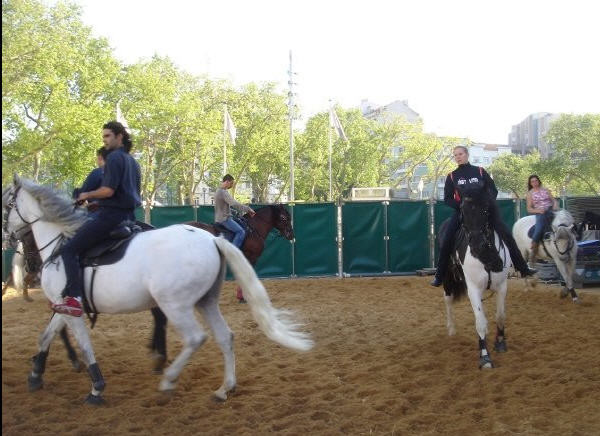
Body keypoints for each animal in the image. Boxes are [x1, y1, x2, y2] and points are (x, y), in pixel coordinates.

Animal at [3, 176, 314, 406]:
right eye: (284, 218)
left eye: (6, 204)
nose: (9, 238)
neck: (61, 244)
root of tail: (211, 239)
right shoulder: (64, 305)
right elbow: (48, 336)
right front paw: (36, 374)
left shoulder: (69, 307)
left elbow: (80, 342)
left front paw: (95, 387)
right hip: (199, 302)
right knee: (223, 337)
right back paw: (222, 388)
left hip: (175, 305)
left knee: (196, 337)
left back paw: (168, 380)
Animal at [440, 196, 510, 370]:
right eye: (463, 212)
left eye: (486, 209)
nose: (478, 245)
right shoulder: (473, 289)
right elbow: (480, 323)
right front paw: (485, 358)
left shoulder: (502, 286)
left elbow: (500, 316)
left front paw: (500, 343)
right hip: (447, 280)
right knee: (448, 300)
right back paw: (452, 329)